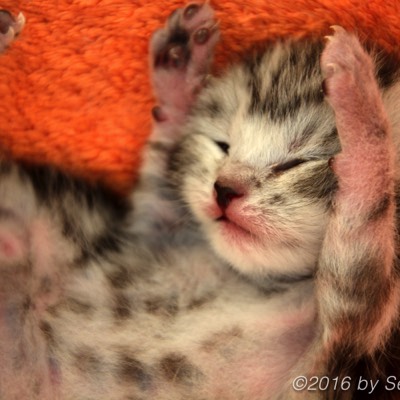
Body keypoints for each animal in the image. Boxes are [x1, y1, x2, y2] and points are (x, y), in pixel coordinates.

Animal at [1, 3, 400, 399]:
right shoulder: (149, 232)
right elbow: (160, 181)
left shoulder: (346, 351)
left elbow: (364, 234)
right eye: (222, 145)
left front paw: (361, 102)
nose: (223, 189)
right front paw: (180, 79)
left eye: (296, 163)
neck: (257, 280)